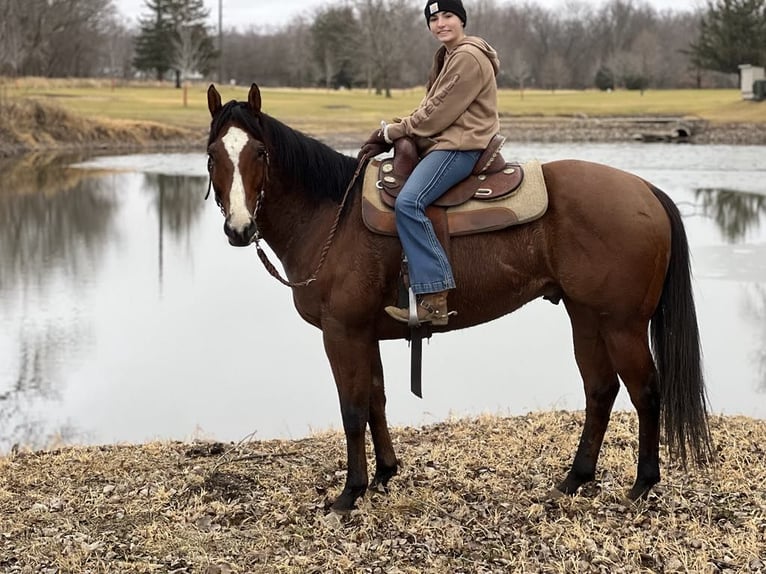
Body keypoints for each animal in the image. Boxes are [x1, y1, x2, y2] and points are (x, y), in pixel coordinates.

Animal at [205, 83, 713, 513]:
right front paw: (385, 474)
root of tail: (644, 189)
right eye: (213, 155)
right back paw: (575, 479)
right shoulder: (365, 333)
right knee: (600, 389)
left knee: (645, 391)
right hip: (587, 316)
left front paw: (350, 494)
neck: (334, 214)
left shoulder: (342, 332)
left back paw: (643, 484)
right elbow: (376, 399)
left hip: (623, 324)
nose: (239, 229)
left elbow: (352, 408)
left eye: (260, 152)